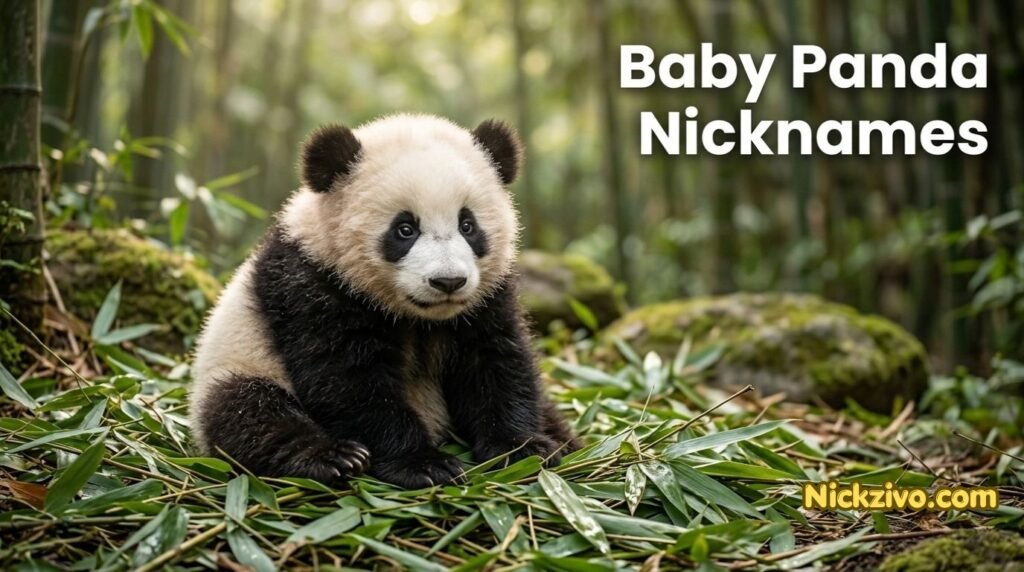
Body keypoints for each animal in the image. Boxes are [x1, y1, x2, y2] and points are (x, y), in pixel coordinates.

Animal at [189, 114, 580, 488]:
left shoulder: (486, 298)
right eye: (405, 229)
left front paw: (523, 447)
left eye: (468, 225)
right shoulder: (311, 286)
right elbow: (350, 380)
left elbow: (496, 362)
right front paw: (423, 464)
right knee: (251, 413)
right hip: (239, 362)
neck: (421, 317)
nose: (448, 281)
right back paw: (330, 458)